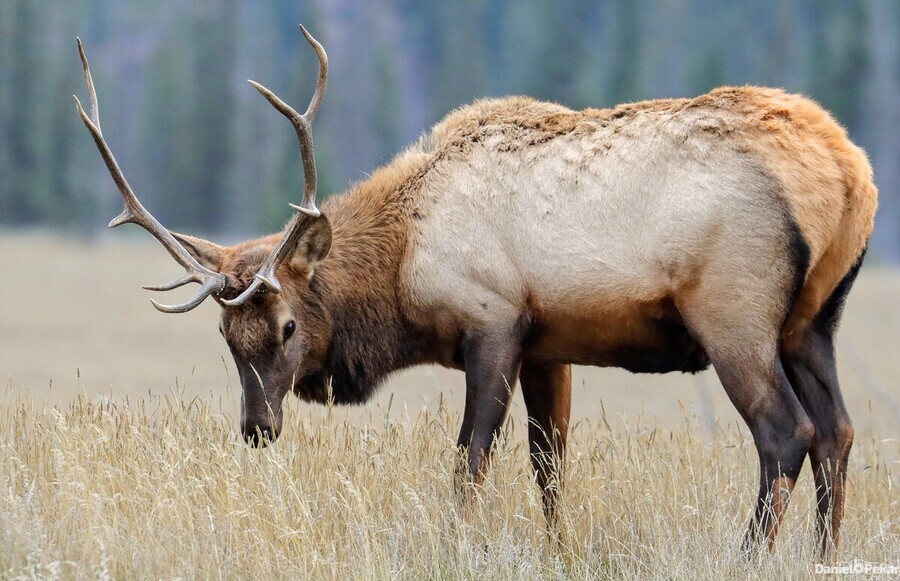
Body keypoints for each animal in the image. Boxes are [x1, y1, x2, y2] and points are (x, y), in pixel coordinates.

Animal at [74, 27, 876, 558]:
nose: (257, 427)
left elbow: (470, 459)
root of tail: (849, 171)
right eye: (225, 336)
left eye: (288, 327)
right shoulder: (551, 344)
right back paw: (823, 556)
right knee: (837, 431)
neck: (405, 261)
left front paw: (451, 544)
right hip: (814, 322)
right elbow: (550, 465)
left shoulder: (494, 323)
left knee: (787, 432)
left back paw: (750, 554)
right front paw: (559, 553)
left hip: (735, 313)